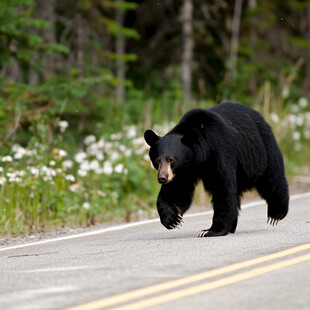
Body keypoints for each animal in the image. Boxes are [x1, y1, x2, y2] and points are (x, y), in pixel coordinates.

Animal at [144, 103, 290, 236]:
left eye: (171, 160)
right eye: (157, 160)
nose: (162, 178)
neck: (199, 158)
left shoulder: (219, 151)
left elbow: (222, 188)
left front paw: (210, 230)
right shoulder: (183, 171)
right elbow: (177, 190)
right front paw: (172, 219)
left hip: (261, 150)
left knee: (271, 178)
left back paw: (275, 214)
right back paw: (232, 227)